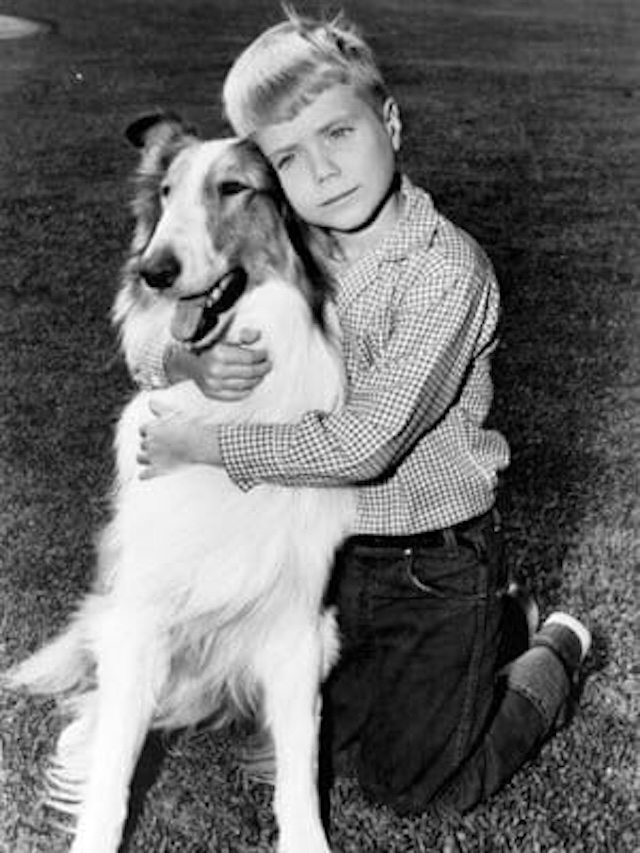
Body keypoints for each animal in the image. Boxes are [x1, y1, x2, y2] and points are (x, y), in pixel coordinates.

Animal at [5, 113, 352, 852]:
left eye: (233, 188)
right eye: (165, 193)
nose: (154, 272)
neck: (228, 415)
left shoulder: (300, 629)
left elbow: (300, 772)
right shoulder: (140, 616)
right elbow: (115, 767)